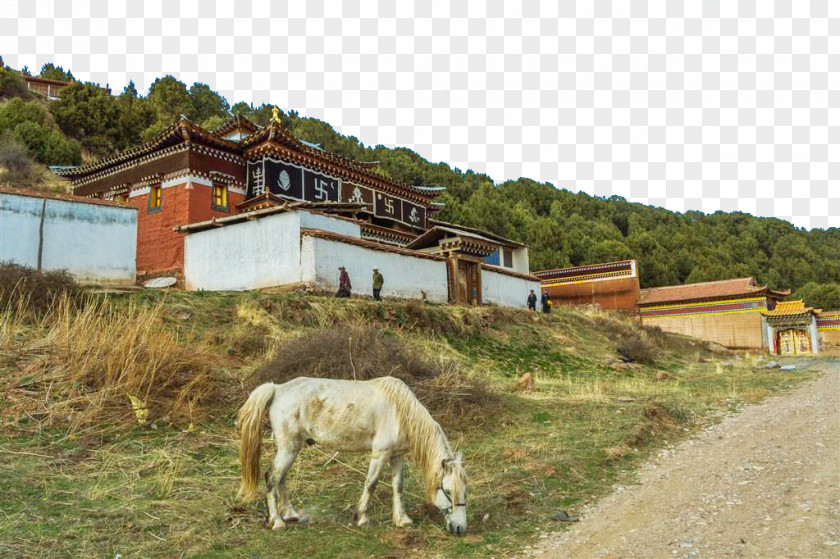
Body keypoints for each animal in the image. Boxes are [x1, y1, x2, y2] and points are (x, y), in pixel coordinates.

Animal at [236, 376, 470, 532]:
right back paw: (277, 521)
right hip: (288, 448)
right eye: (447, 490)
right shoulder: (380, 454)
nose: (460, 528)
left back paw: (291, 514)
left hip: (291, 449)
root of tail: (277, 389)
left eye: (465, 492)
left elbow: (398, 487)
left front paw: (402, 520)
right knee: (272, 477)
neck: (399, 411)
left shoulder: (396, 456)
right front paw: (362, 518)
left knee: (281, 478)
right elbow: (371, 484)